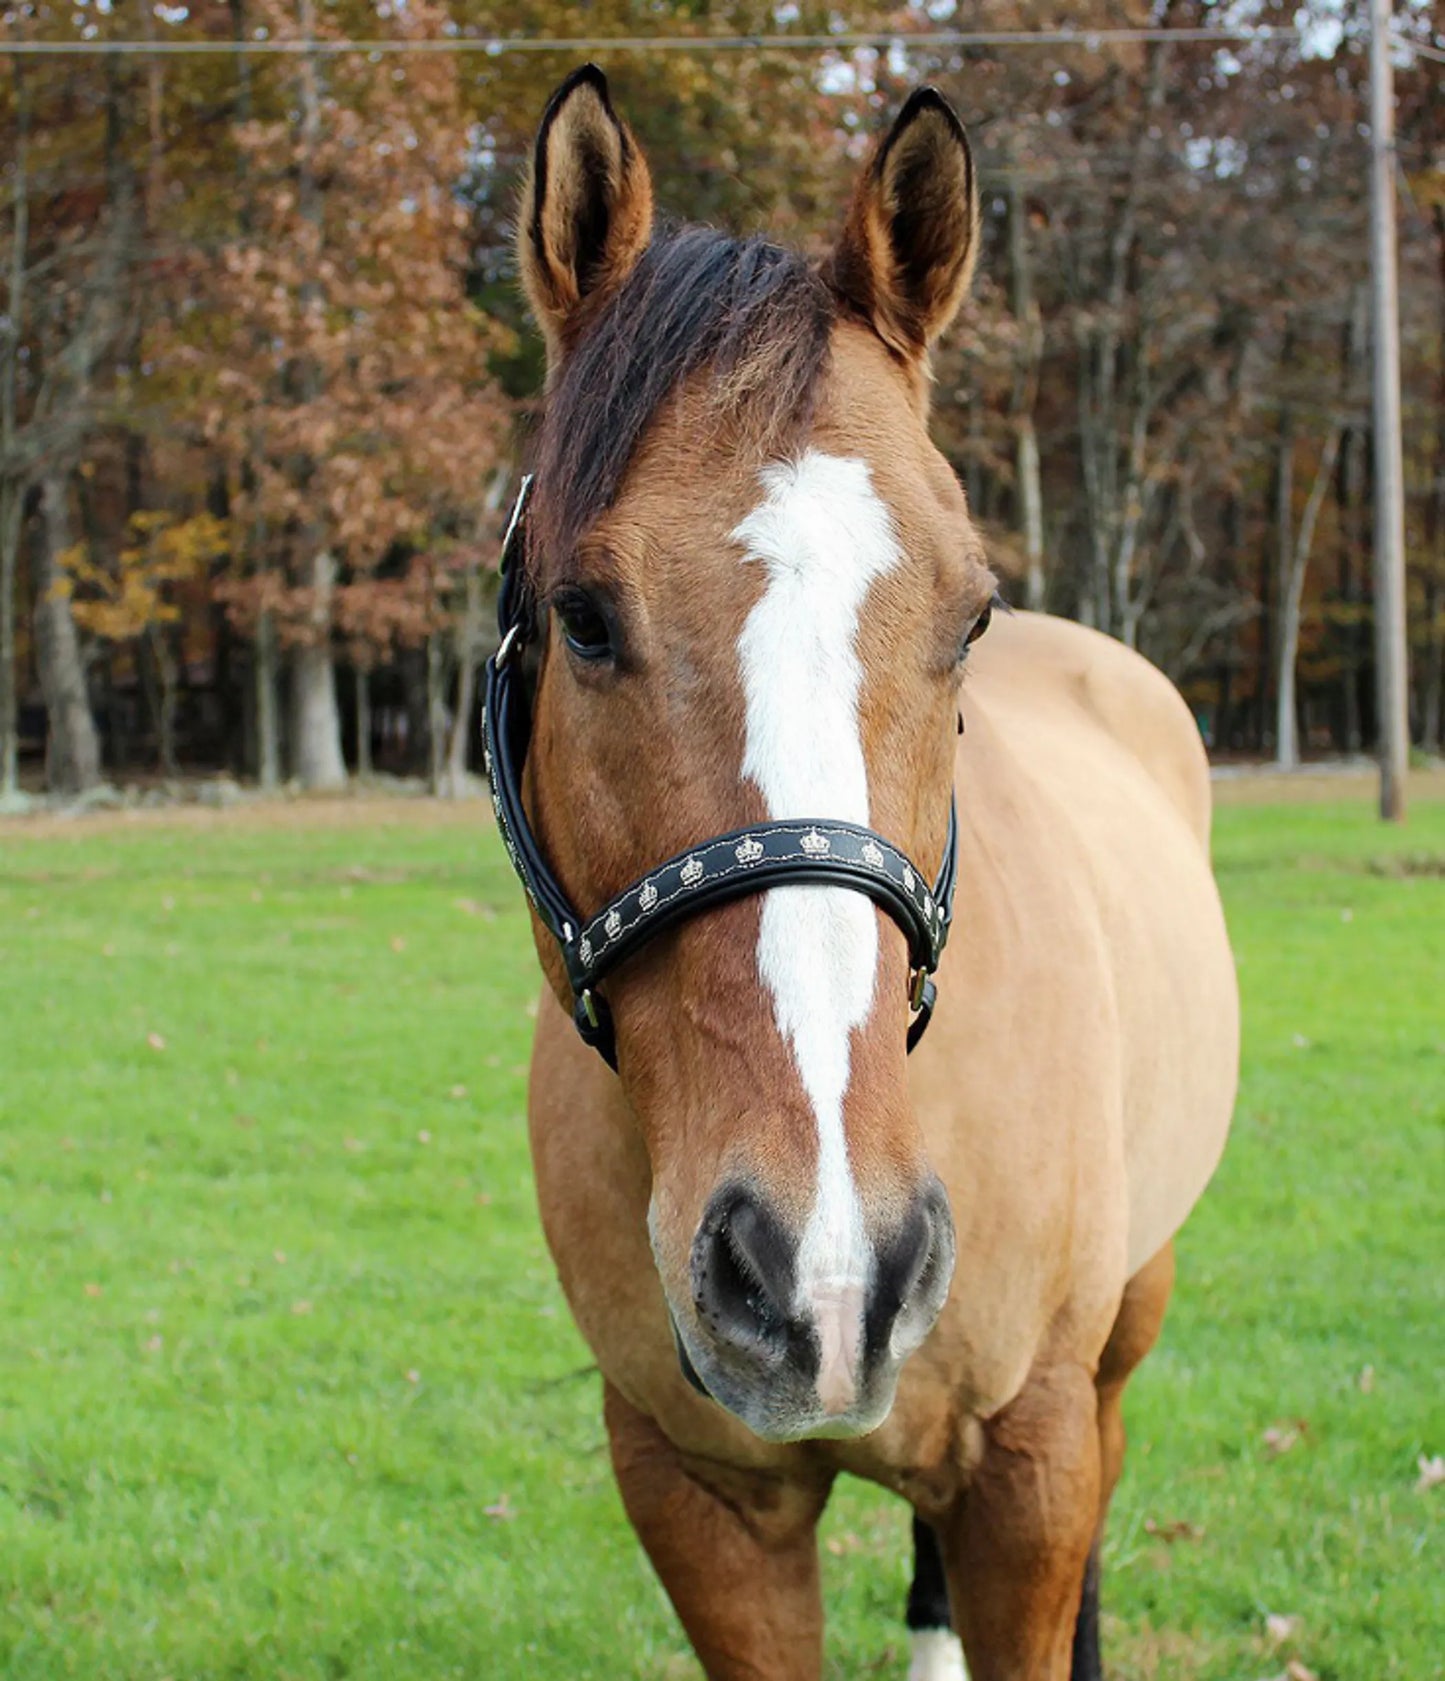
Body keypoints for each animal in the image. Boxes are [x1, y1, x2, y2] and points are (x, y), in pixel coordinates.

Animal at [490, 68, 1236, 1681]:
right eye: (583, 616)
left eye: (968, 617)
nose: (821, 1265)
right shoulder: (694, 1485)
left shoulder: (1029, 1461)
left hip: (1123, 1328)